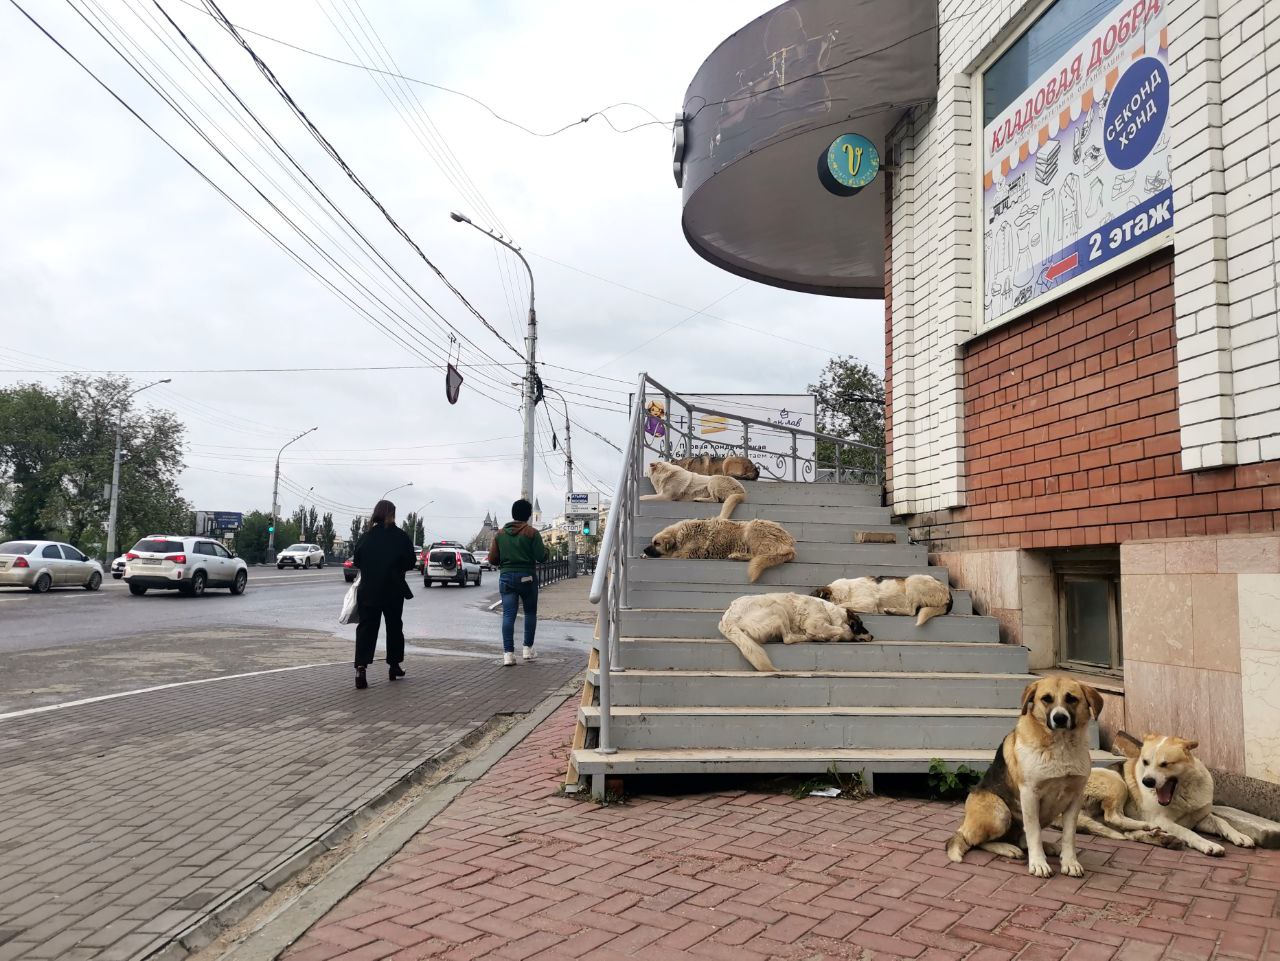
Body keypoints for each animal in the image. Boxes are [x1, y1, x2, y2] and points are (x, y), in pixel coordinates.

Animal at [645, 522, 793, 583]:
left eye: (656, 543)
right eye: (652, 542)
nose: (644, 549)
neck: (679, 535)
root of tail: (790, 547)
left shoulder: (686, 553)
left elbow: (670, 555)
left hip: (753, 528)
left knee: (757, 555)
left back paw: (737, 555)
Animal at [716, 593, 875, 675]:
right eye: (861, 625)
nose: (872, 636)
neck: (830, 613)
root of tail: (727, 619)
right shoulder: (815, 625)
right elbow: (843, 630)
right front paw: (837, 635)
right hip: (777, 607)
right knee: (788, 638)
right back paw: (806, 637)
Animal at [808, 575, 952, 627]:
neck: (846, 591)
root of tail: (947, 591)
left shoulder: (867, 603)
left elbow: (843, 604)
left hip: (913, 580)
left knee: (912, 611)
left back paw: (892, 610)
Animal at [947, 675, 1105, 880]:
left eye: (1072, 699)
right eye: (1046, 699)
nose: (1060, 718)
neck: (1060, 746)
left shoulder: (1075, 798)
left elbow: (1069, 836)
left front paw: (1070, 862)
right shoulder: (1030, 795)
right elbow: (1034, 832)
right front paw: (1038, 863)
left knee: (1021, 840)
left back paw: (1047, 847)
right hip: (1000, 812)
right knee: (974, 841)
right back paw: (1007, 848)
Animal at [1059, 726, 1259, 854]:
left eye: (1165, 764)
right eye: (1145, 762)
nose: (1147, 782)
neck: (1182, 793)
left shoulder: (1199, 817)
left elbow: (1222, 822)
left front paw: (1239, 836)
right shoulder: (1164, 820)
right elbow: (1188, 832)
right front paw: (1207, 844)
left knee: (1126, 832)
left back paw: (1161, 838)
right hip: (1116, 781)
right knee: (1114, 816)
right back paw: (1148, 827)